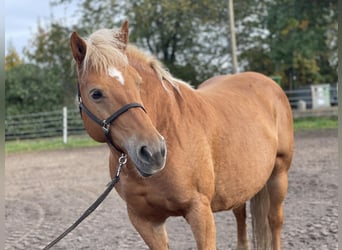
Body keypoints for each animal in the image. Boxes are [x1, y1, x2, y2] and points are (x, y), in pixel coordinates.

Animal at [69, 20, 294, 249]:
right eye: (96, 94)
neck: (168, 126)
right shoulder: (145, 221)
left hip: (279, 173)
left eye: (138, 84)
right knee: (240, 215)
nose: (154, 152)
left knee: (274, 220)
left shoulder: (200, 212)